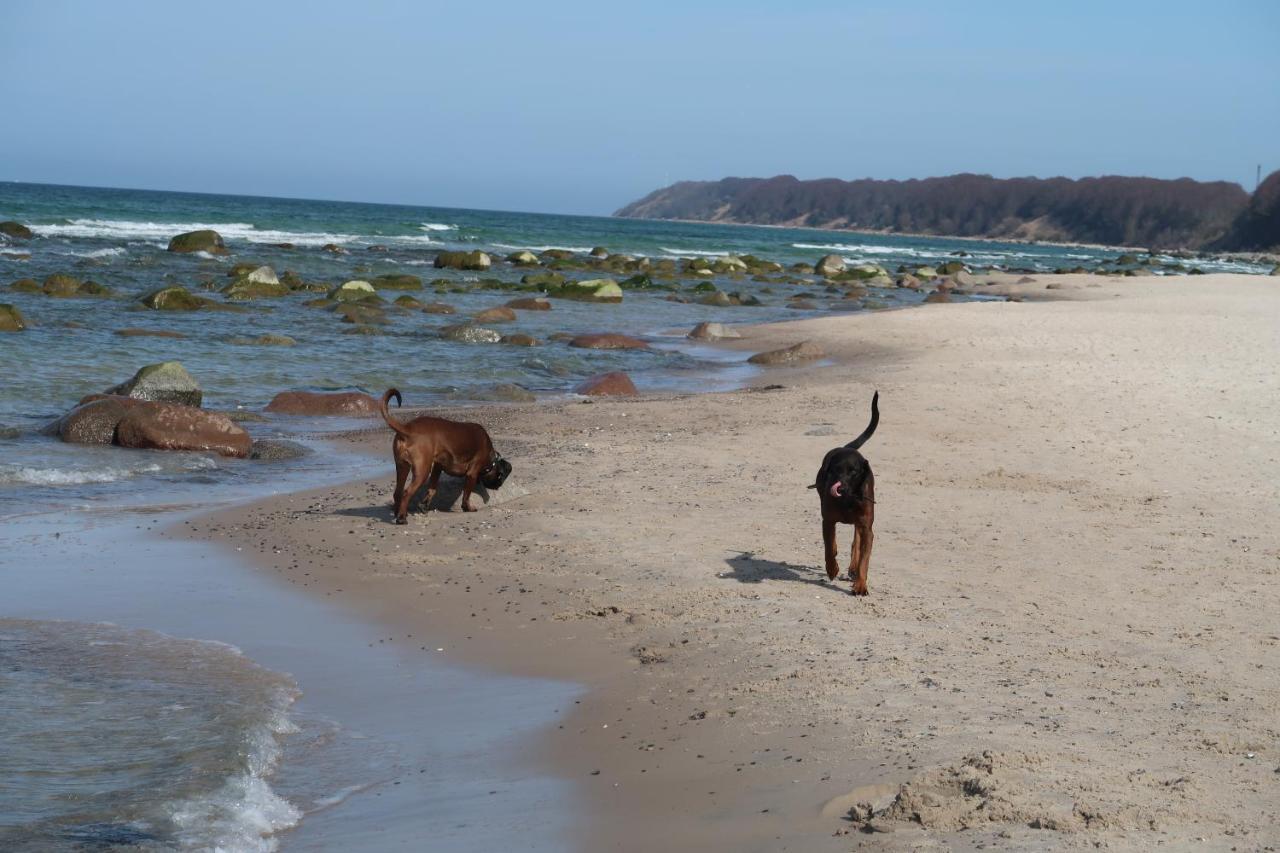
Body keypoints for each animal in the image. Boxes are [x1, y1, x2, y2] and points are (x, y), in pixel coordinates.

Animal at [376, 389, 512, 522]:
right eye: (500, 478)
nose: (498, 487)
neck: (491, 459)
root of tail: (407, 429)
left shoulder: (437, 467)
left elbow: (432, 489)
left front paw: (424, 505)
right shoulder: (472, 473)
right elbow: (466, 494)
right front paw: (467, 507)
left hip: (402, 467)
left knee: (398, 492)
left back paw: (397, 513)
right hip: (422, 471)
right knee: (406, 493)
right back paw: (402, 518)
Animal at [808, 389, 880, 591]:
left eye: (853, 471)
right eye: (834, 470)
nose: (839, 486)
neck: (848, 500)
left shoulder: (867, 528)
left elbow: (864, 558)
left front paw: (861, 585)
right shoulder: (828, 520)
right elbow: (829, 546)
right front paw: (832, 568)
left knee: (857, 539)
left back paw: (853, 568)